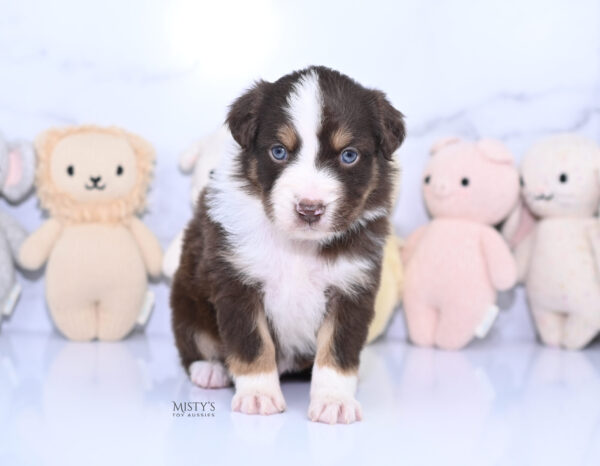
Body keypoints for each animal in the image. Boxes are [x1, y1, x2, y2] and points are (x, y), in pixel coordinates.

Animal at [171, 66, 406, 426]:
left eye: (348, 155)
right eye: (279, 151)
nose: (309, 209)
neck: (299, 246)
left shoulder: (352, 287)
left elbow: (338, 348)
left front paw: (334, 400)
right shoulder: (237, 282)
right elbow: (253, 343)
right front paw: (257, 395)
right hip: (187, 299)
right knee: (194, 342)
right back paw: (210, 371)